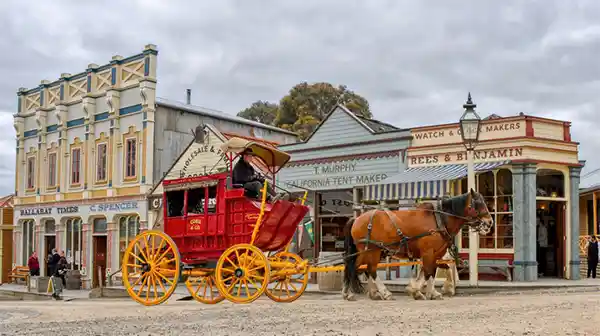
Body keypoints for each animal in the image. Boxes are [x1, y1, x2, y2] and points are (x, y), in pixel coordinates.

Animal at [342, 189, 492, 302]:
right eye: (478, 203)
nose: (490, 222)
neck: (439, 220)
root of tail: (357, 218)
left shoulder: (435, 253)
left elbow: (432, 271)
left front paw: (433, 292)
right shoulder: (428, 252)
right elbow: (428, 272)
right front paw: (415, 291)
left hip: (371, 252)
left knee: (362, 268)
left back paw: (370, 293)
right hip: (371, 251)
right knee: (363, 268)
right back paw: (379, 293)